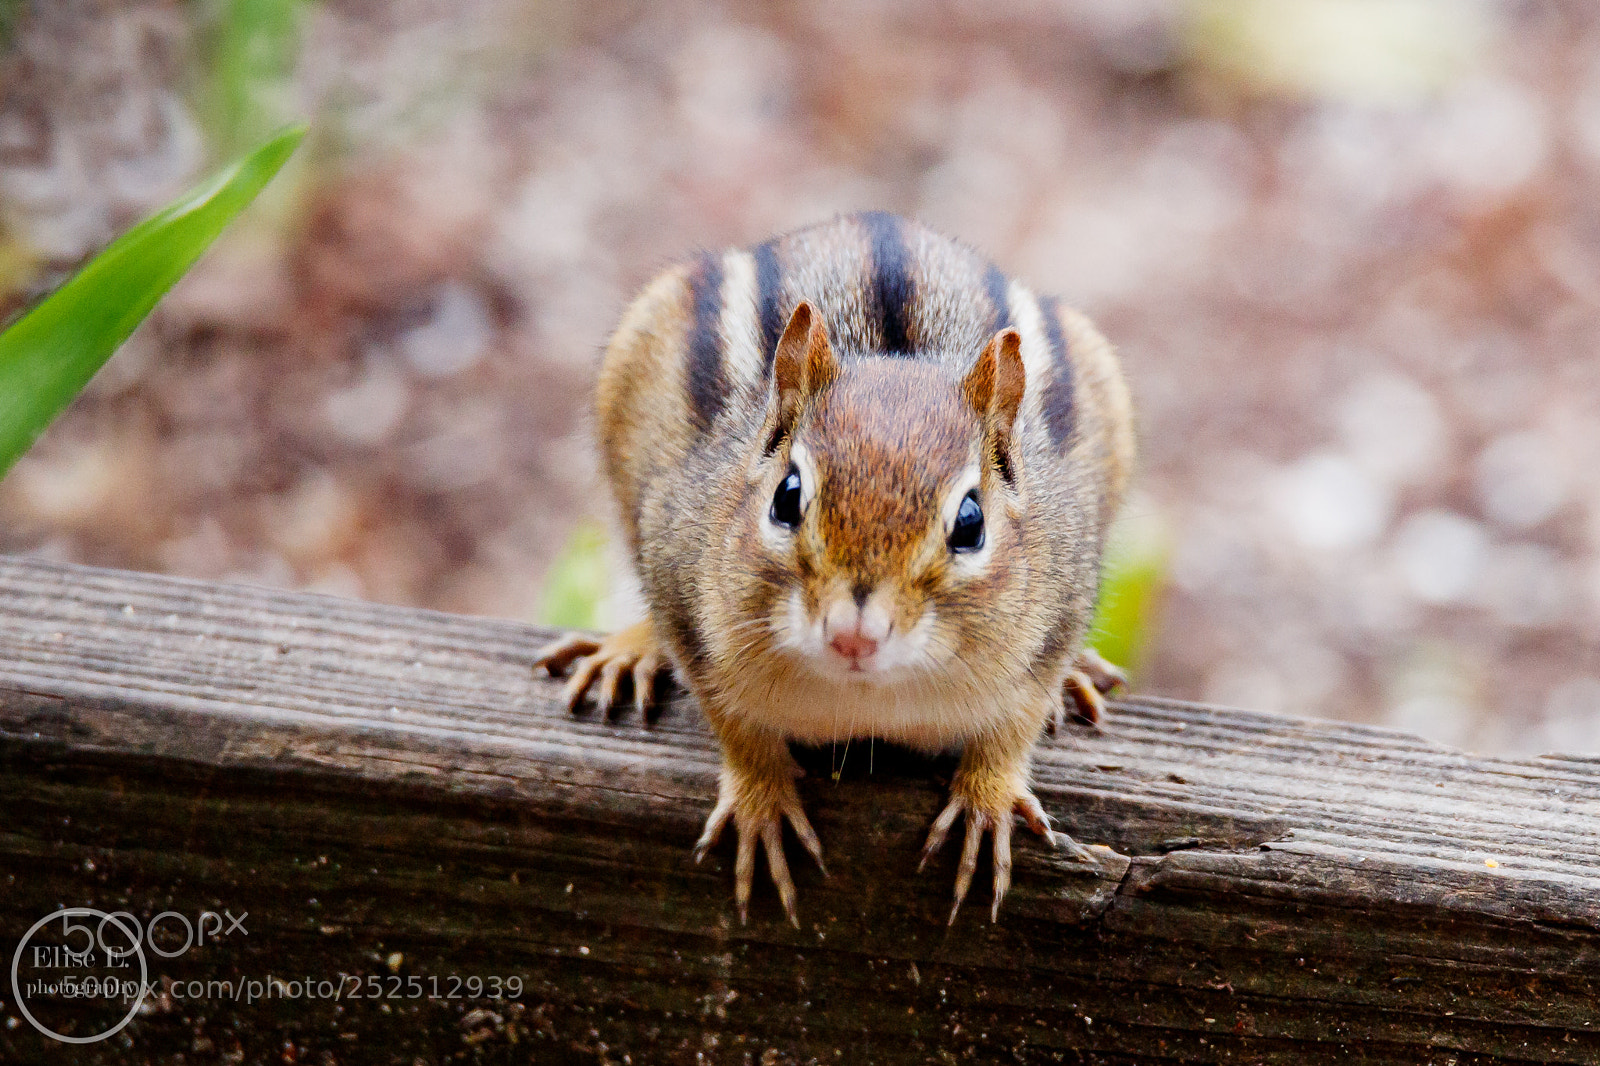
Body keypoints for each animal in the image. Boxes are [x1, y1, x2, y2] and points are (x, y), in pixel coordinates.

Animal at [535, 212, 1135, 925]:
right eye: (786, 497)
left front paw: (986, 801)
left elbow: (1013, 727)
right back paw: (629, 652)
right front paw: (761, 803)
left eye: (971, 523)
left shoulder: (1058, 612)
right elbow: (733, 723)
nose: (854, 635)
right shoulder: (682, 590)